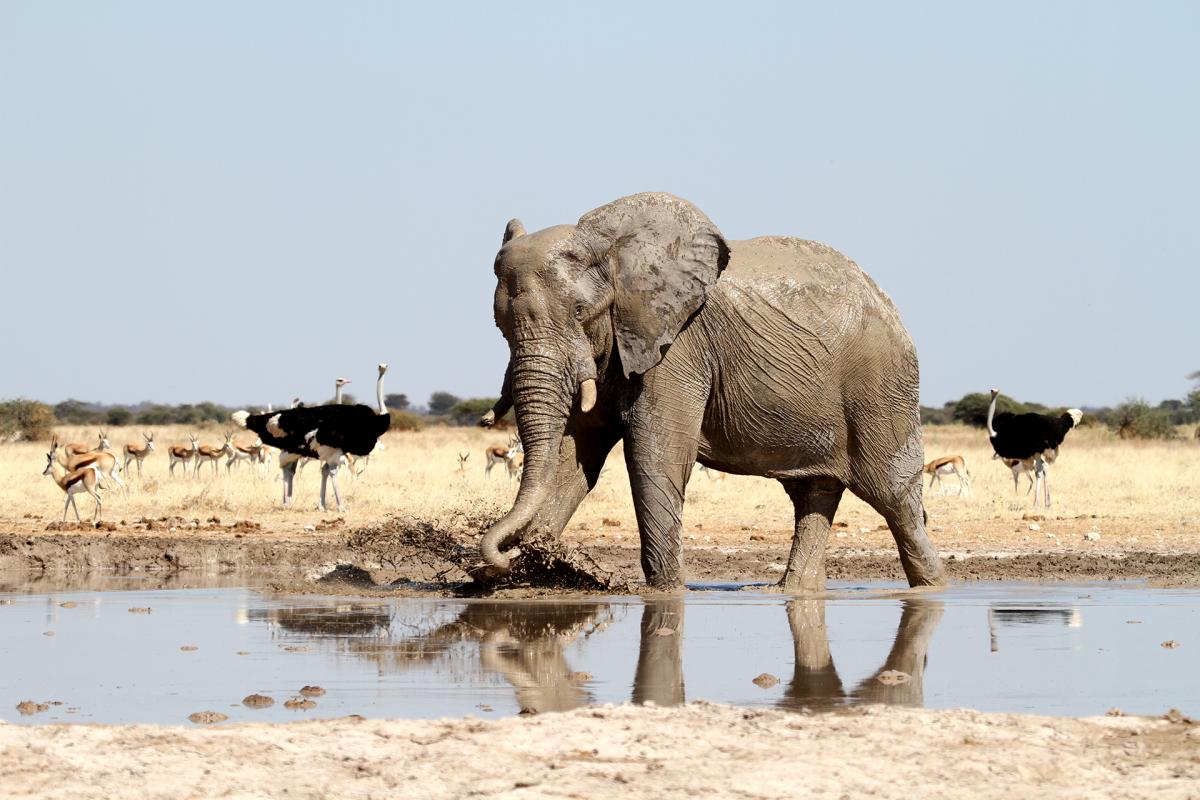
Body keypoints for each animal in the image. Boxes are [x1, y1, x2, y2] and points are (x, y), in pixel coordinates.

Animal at [477, 194, 945, 592]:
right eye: (500, 324)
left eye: (581, 312)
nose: (502, 554)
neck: (614, 251)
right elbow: (575, 456)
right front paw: (534, 565)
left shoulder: (678, 347)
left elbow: (655, 455)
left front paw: (665, 591)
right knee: (815, 494)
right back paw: (792, 591)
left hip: (882, 387)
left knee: (896, 499)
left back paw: (932, 588)